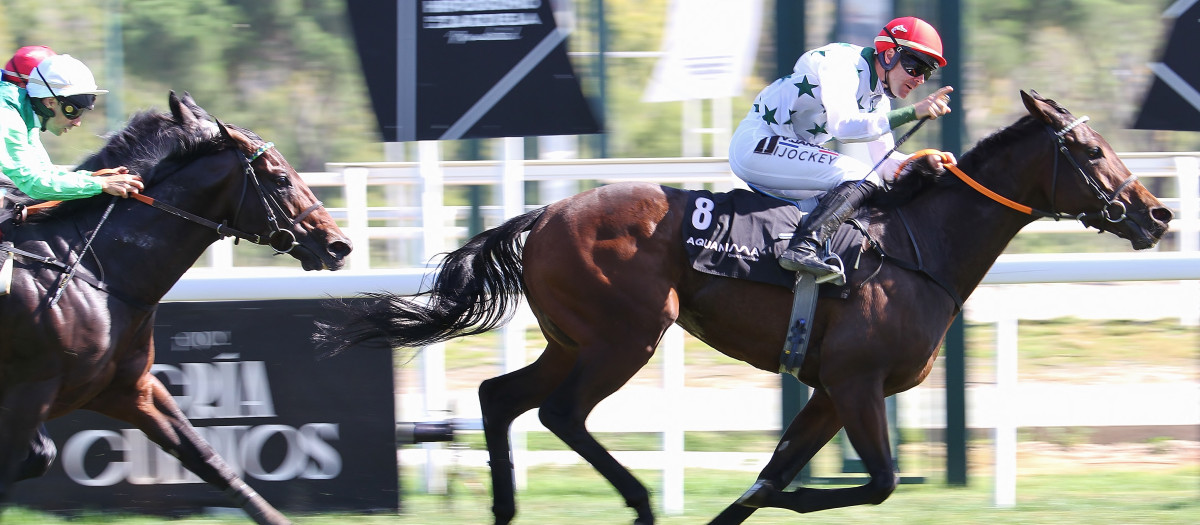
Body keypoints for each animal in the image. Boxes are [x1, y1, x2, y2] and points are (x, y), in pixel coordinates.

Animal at [0, 92, 350, 522]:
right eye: (281, 178)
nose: (339, 245)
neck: (94, 267)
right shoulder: (30, 392)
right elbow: (26, 460)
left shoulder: (129, 389)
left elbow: (207, 459)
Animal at [316, 90, 1171, 520]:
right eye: (1088, 150)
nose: (1157, 213)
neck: (919, 246)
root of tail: (547, 212)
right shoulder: (857, 383)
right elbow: (876, 481)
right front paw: (784, 497)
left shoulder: (828, 389)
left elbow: (774, 471)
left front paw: (761, 494)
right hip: (626, 337)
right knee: (560, 412)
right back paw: (638, 500)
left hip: (572, 338)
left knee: (500, 396)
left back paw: (505, 507)